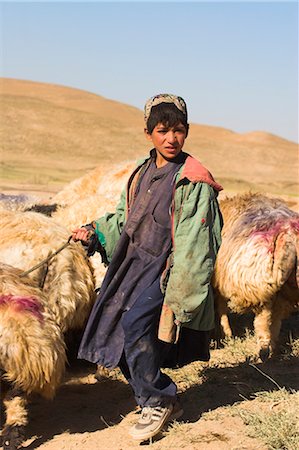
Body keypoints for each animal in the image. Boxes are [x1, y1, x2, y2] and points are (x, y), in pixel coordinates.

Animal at [214, 193, 298, 362]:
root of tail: (287, 233)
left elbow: (220, 307)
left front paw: (226, 334)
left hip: (261, 280)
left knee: (263, 319)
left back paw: (263, 351)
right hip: (283, 286)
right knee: (274, 318)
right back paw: (273, 349)